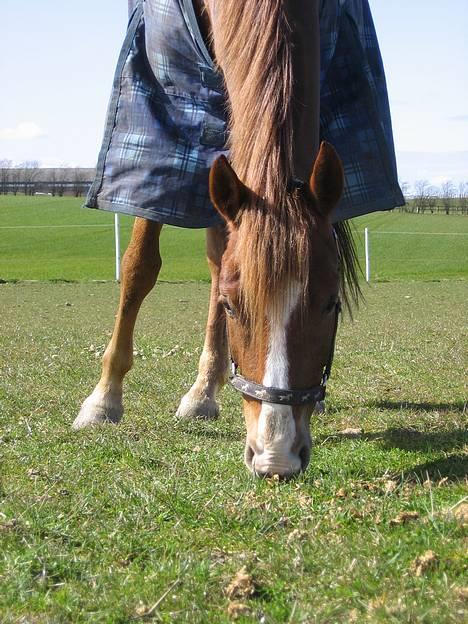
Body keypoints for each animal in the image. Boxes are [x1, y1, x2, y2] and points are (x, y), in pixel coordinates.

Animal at [73, 1, 360, 478]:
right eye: (231, 307)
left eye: (331, 304)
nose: (276, 456)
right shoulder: (162, 119)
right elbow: (139, 266)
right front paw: (103, 398)